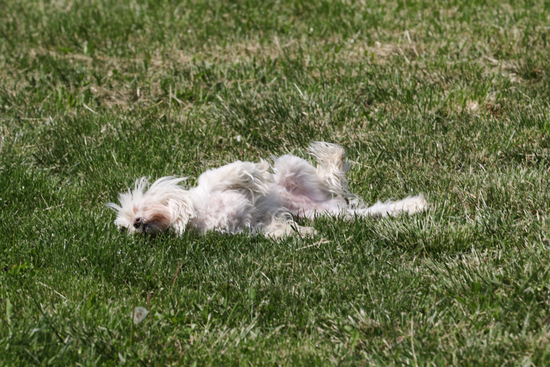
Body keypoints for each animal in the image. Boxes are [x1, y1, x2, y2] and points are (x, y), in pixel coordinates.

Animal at [106, 142, 426, 237]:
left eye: (137, 209)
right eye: (127, 226)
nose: (137, 224)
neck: (197, 213)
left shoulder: (214, 181)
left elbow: (237, 172)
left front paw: (257, 173)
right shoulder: (249, 226)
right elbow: (275, 228)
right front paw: (301, 234)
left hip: (291, 166)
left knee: (328, 177)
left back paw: (334, 157)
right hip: (326, 214)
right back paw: (414, 205)